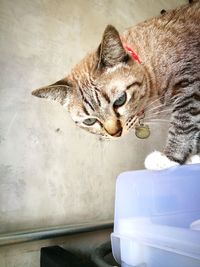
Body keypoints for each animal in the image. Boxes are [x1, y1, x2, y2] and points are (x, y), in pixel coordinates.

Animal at [31, 0, 200, 170]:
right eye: (89, 121)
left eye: (120, 100)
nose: (115, 134)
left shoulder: (190, 87)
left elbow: (183, 124)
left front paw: (169, 158)